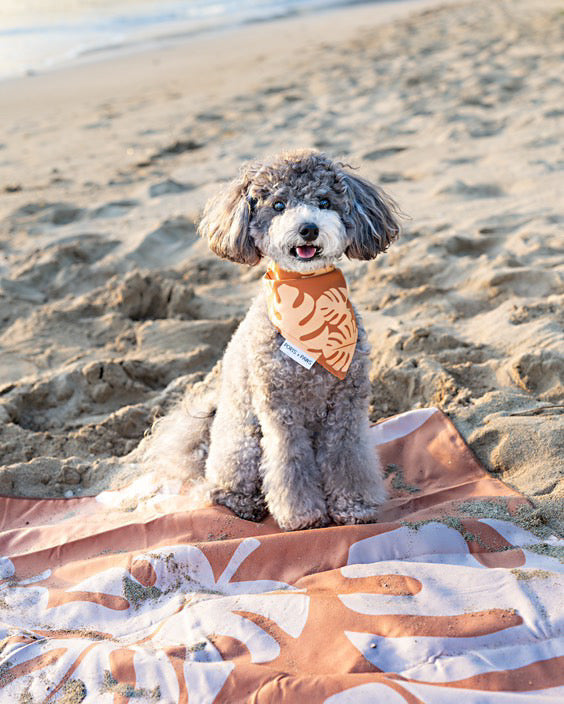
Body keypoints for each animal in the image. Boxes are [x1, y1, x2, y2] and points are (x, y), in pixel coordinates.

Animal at [143, 151, 398, 532]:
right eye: (278, 205)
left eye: (324, 201)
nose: (308, 228)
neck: (307, 293)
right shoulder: (280, 410)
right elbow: (289, 463)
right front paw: (303, 516)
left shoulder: (347, 408)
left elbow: (347, 456)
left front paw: (353, 506)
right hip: (243, 443)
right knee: (219, 488)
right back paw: (245, 505)